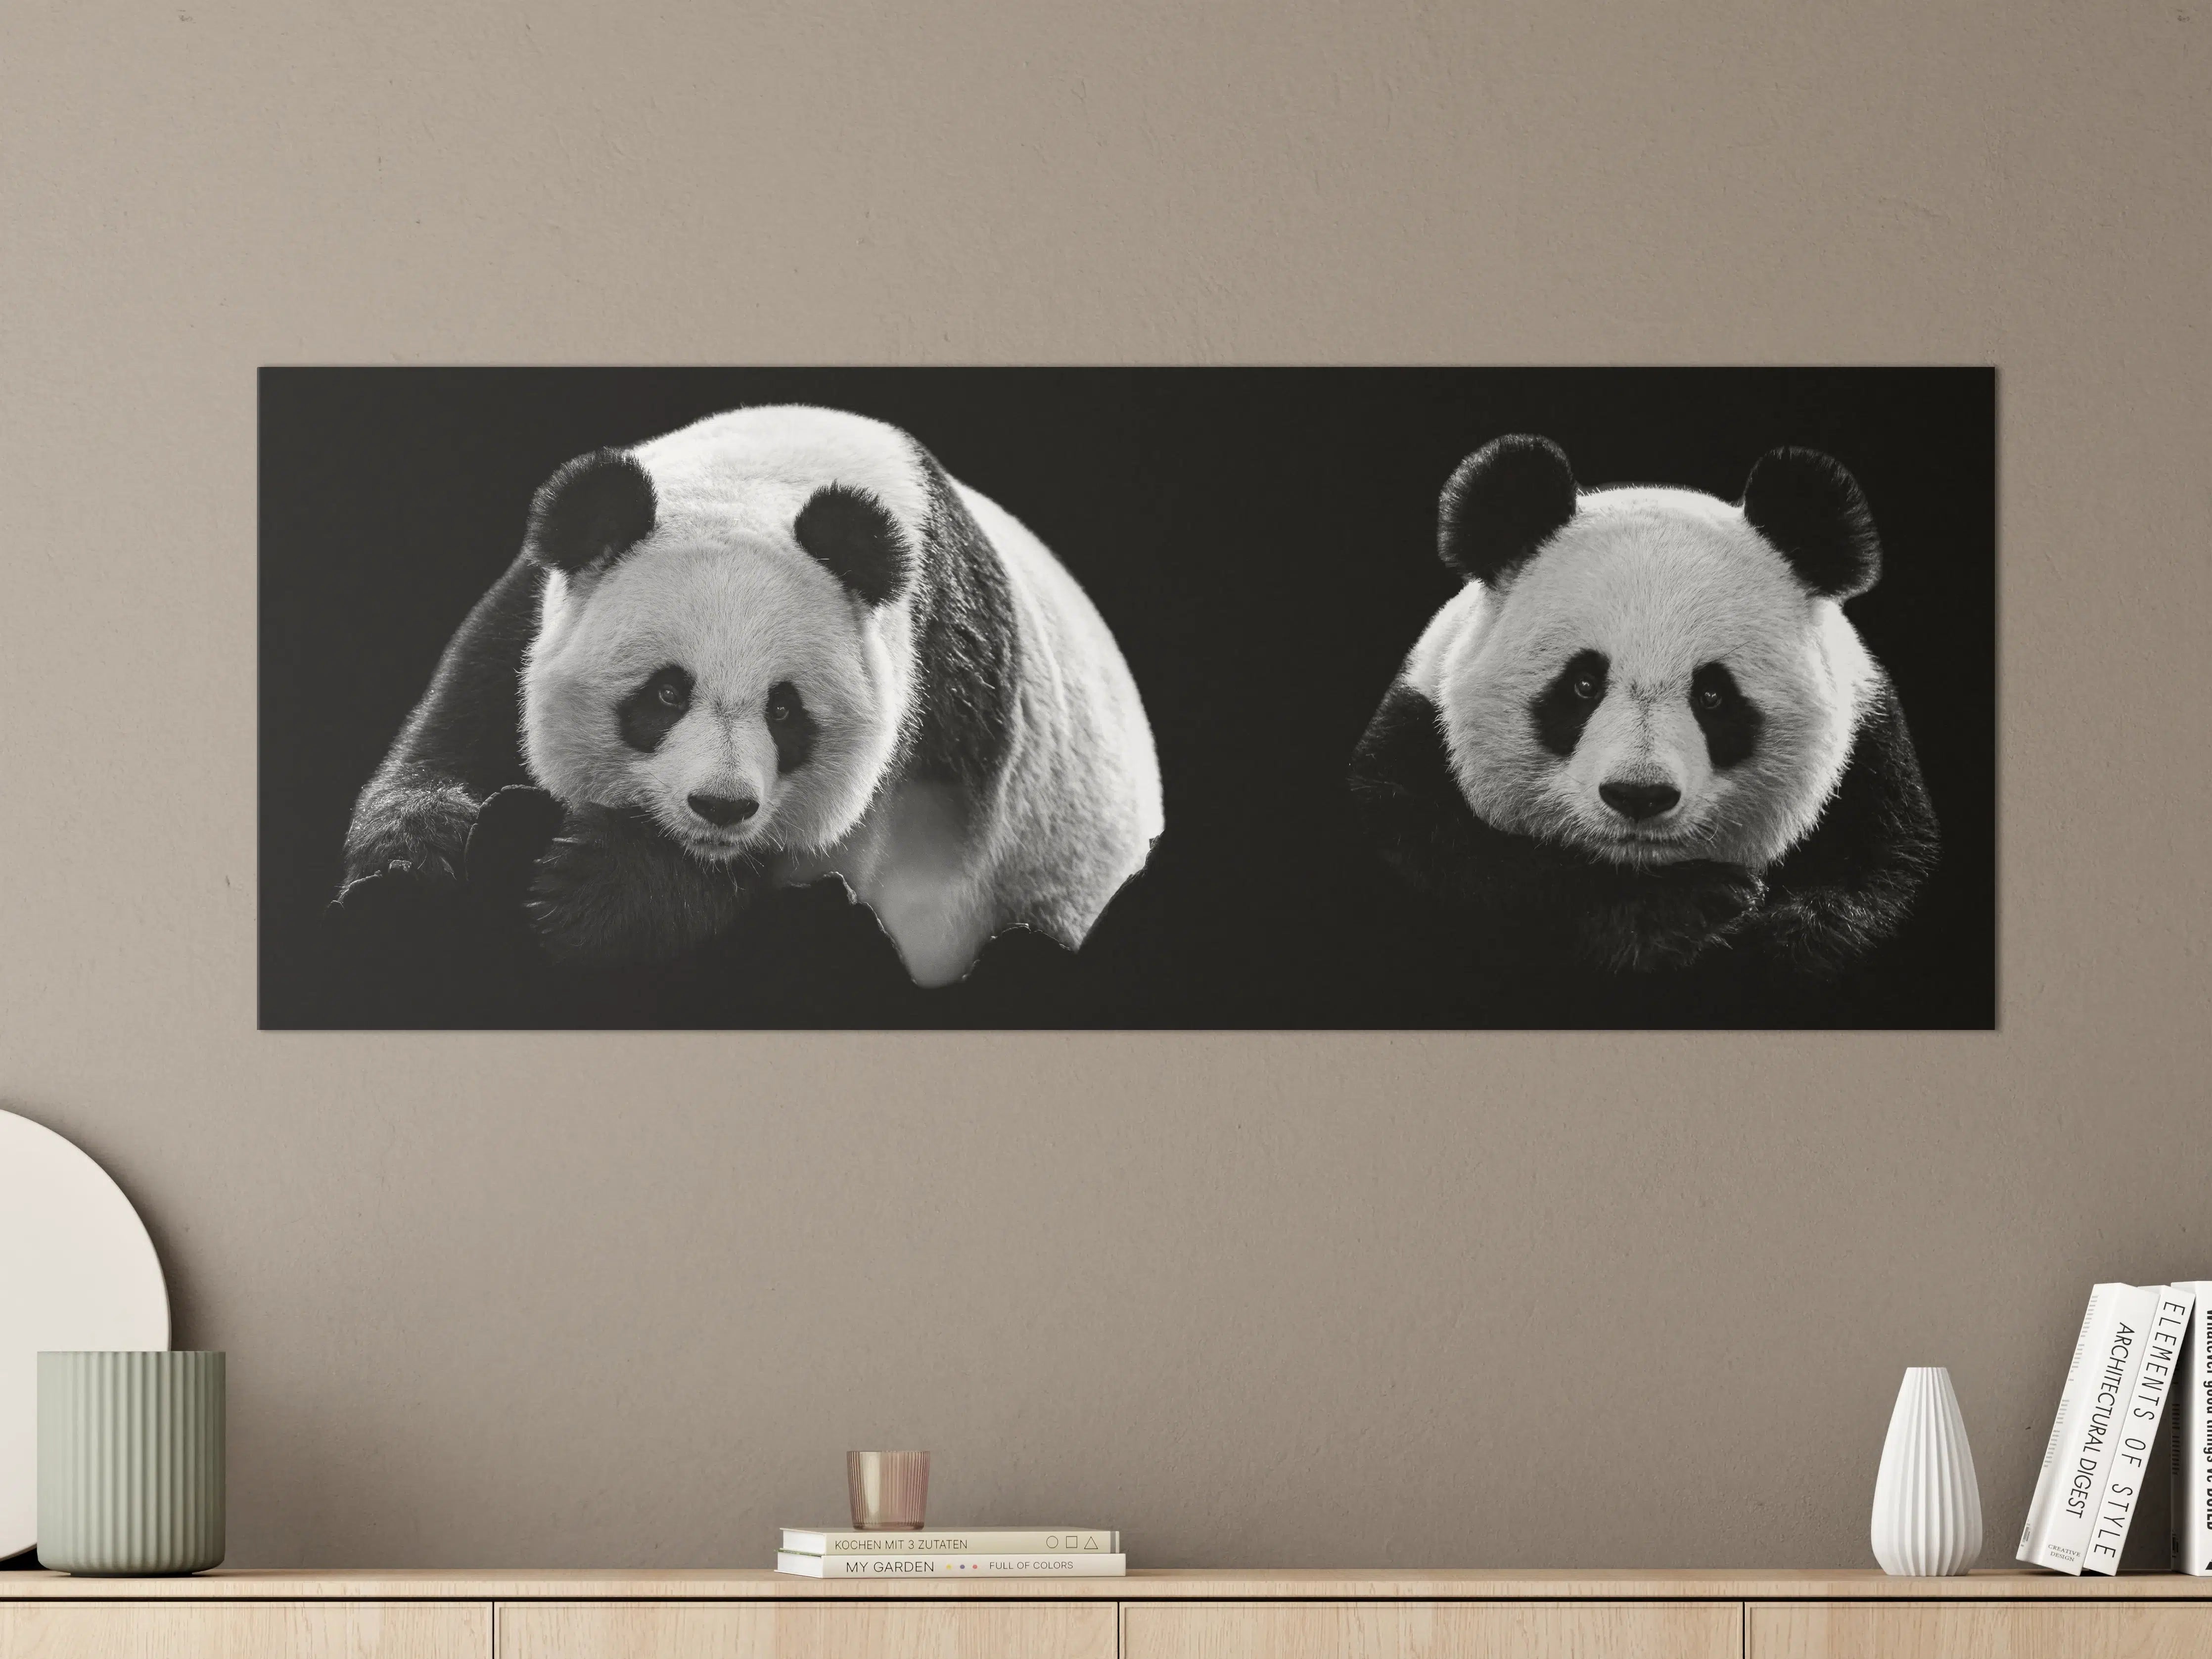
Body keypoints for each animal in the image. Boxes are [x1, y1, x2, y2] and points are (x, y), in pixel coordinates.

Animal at [340, 405, 1164, 988]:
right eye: (666, 692)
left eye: (785, 709)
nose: (722, 806)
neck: (768, 477)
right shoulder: (527, 614)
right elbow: (454, 737)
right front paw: (406, 870)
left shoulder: (936, 723)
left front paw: (589, 886)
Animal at [1349, 435, 1938, 977]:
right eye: (1583, 685)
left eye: (1713, 696)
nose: (1639, 795)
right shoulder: (1415, 738)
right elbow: (1449, 855)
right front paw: (1684, 908)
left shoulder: (1872, 779)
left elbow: (1875, 884)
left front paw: (1777, 934)